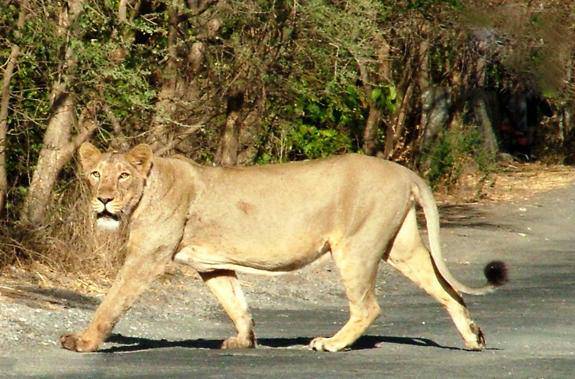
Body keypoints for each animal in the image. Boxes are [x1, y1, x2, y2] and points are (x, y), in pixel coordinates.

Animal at [59, 142, 508, 354]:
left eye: (122, 176)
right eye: (95, 173)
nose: (103, 200)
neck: (151, 185)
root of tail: (405, 171)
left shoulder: (147, 257)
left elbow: (111, 302)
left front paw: (84, 342)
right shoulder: (212, 265)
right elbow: (235, 303)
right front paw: (244, 340)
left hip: (355, 246)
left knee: (368, 306)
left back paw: (330, 343)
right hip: (402, 247)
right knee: (446, 290)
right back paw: (473, 337)